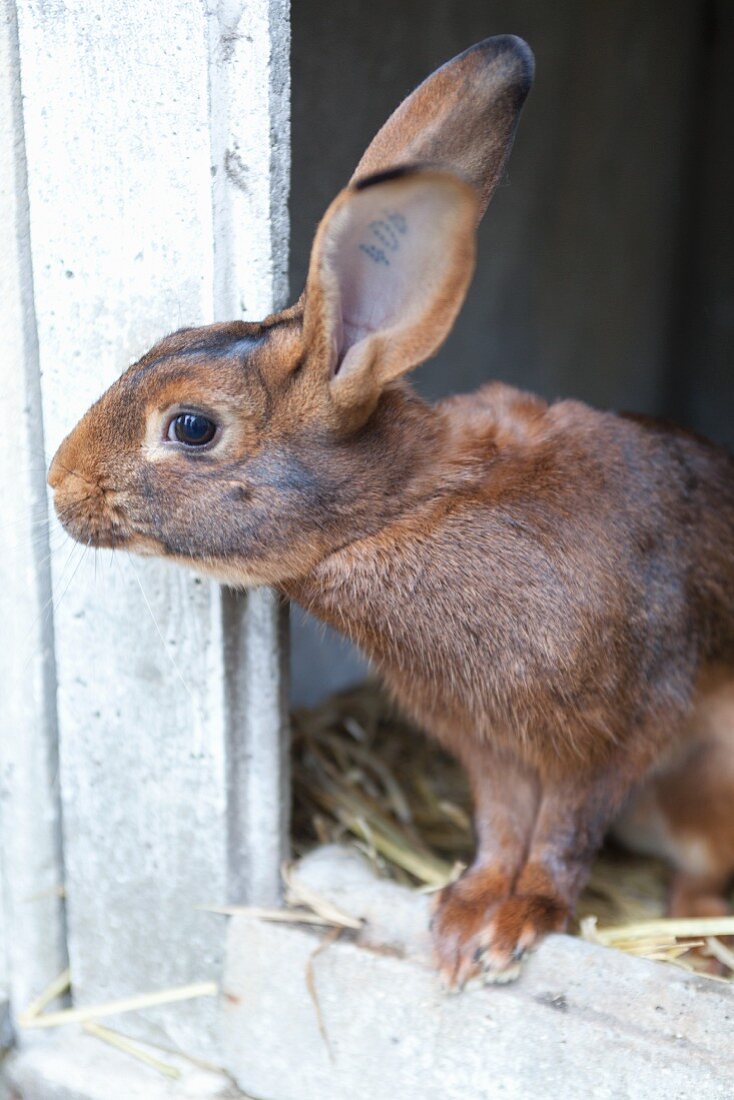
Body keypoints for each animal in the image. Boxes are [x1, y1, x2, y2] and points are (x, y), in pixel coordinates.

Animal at [47, 38, 734, 990]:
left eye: (190, 427)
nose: (57, 484)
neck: (408, 507)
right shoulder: (490, 751)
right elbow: (504, 827)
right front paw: (466, 916)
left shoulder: (614, 733)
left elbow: (562, 833)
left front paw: (511, 926)